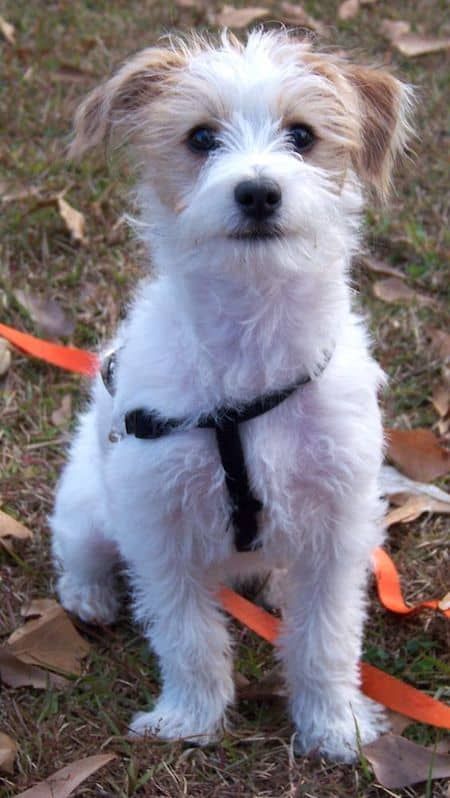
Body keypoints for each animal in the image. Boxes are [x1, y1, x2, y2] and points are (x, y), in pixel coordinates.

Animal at [51, 29, 414, 764]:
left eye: (302, 135)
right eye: (201, 137)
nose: (258, 193)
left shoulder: (338, 529)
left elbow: (326, 638)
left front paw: (335, 724)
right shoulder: (157, 526)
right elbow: (188, 637)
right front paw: (190, 717)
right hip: (89, 501)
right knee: (77, 544)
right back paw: (88, 593)